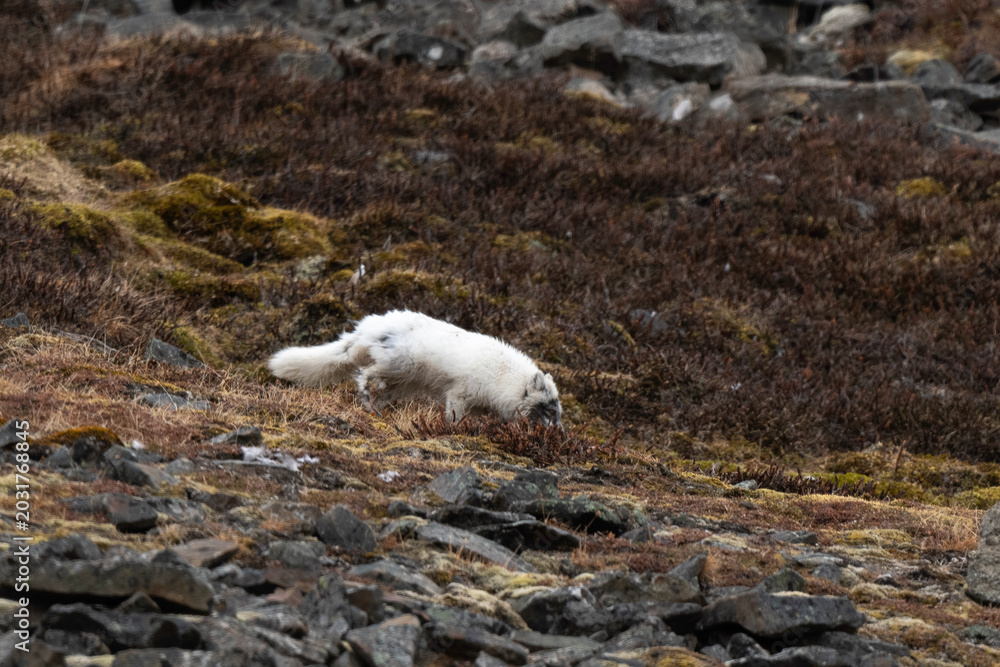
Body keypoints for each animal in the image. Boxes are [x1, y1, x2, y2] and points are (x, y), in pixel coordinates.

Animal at [268, 310, 563, 428]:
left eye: (558, 411)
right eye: (548, 409)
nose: (559, 433)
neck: (503, 376)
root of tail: (364, 330)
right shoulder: (460, 393)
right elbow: (454, 416)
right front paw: (452, 430)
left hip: (401, 384)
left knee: (378, 392)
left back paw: (373, 410)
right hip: (398, 366)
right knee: (364, 374)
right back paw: (365, 394)